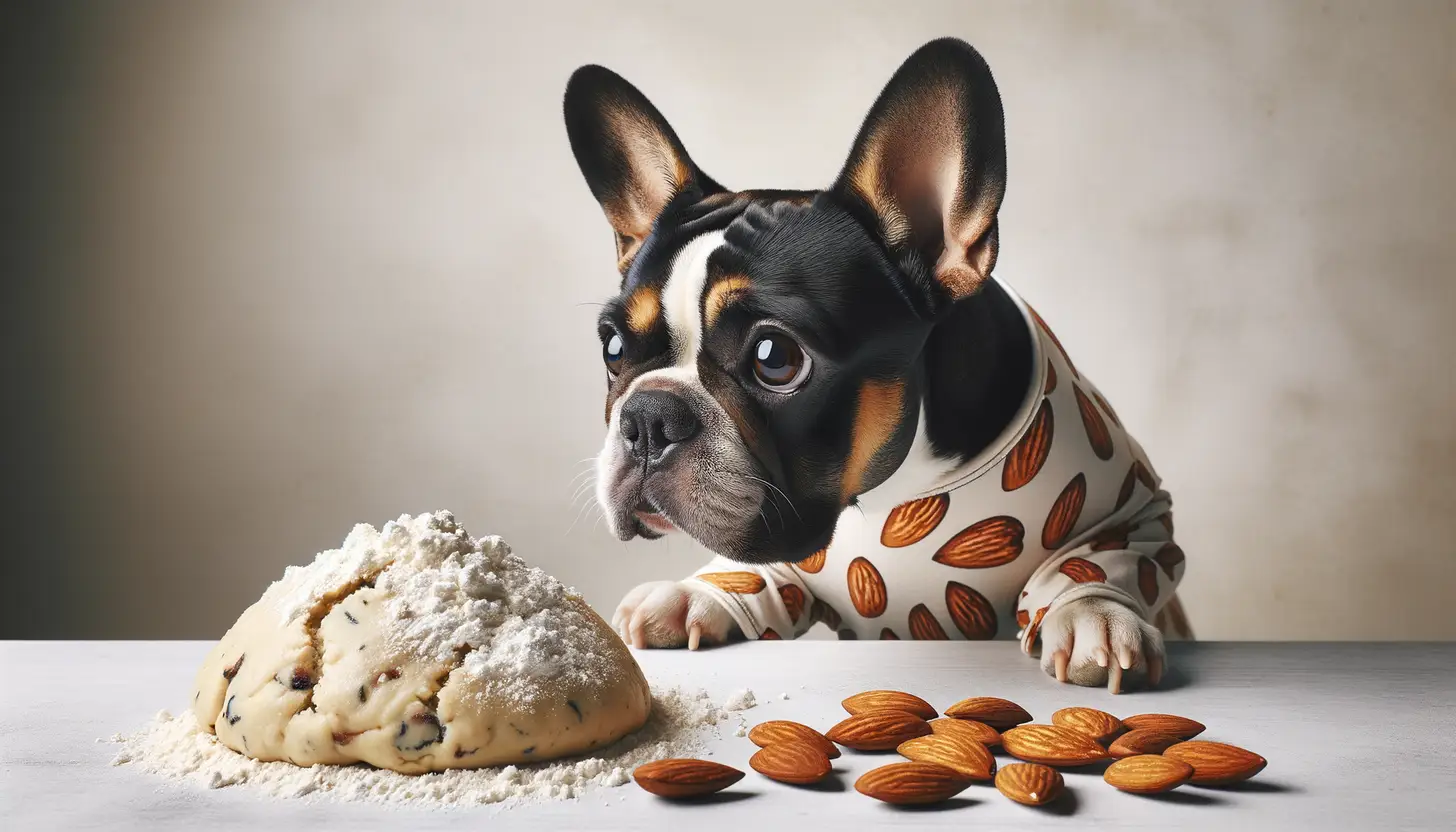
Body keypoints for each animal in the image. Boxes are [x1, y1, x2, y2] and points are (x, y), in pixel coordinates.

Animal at [562, 35, 1188, 693]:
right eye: (612, 348)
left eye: (775, 358)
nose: (647, 417)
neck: (893, 493)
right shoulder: (790, 569)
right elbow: (756, 575)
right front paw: (691, 596)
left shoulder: (1140, 514)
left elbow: (1098, 561)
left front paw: (1092, 613)